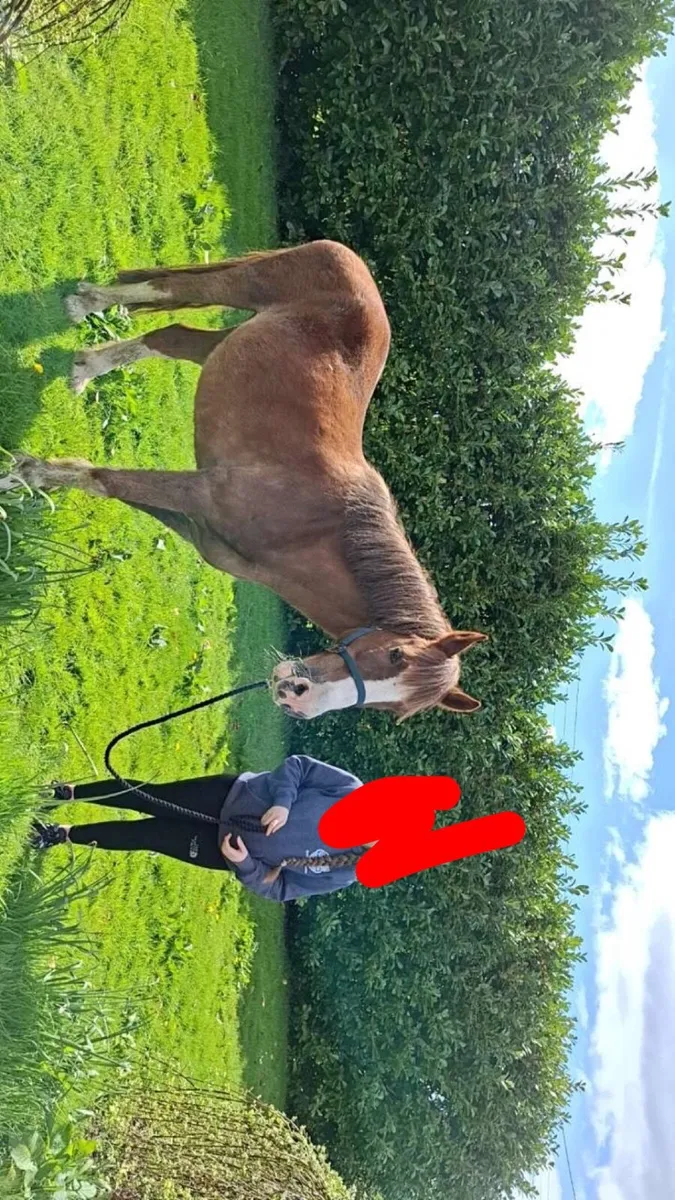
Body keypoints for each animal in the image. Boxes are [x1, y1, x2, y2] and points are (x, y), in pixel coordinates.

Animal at [4, 240, 487, 720]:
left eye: (392, 709)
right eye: (394, 654)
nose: (296, 695)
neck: (310, 530)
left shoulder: (198, 527)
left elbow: (118, 489)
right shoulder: (201, 492)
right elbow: (105, 480)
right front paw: (23, 475)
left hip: (225, 342)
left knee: (170, 337)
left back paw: (88, 365)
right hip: (239, 285)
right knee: (167, 290)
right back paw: (86, 303)